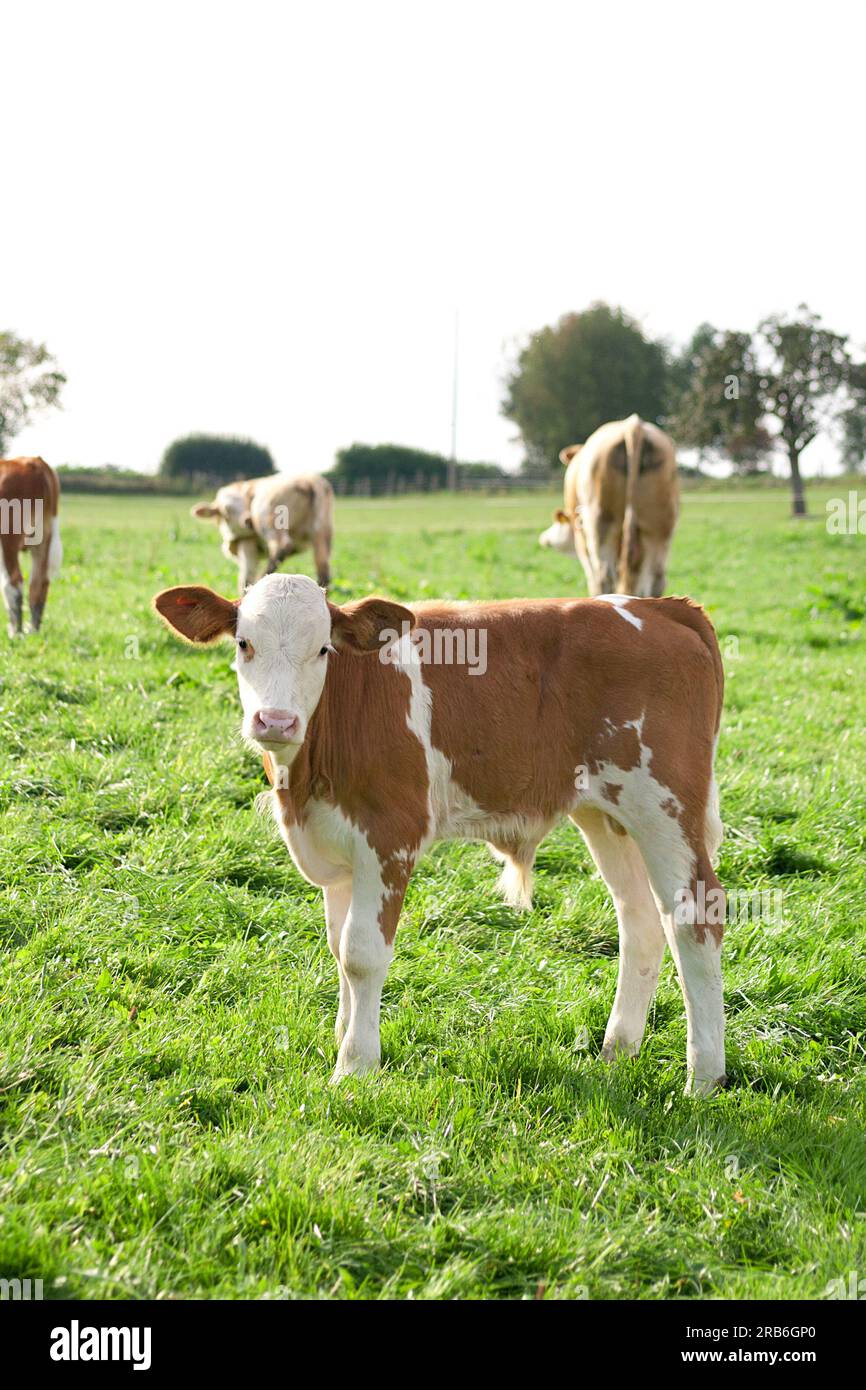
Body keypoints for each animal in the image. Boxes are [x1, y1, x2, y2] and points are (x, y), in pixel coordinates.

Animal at [0, 453, 62, 636]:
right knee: (39, 583)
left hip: (7, 540)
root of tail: (35, 462)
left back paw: (15, 632)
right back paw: (33, 631)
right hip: (44, 538)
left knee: (13, 582)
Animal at [154, 572, 722, 1095]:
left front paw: (355, 1064)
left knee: (695, 917)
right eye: (244, 643)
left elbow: (361, 954)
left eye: (322, 649)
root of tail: (661, 608)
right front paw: (343, 1035)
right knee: (640, 920)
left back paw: (704, 1077)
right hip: (607, 813)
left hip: (664, 805)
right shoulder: (336, 849)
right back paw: (618, 1049)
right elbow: (338, 946)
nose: (275, 721)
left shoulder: (389, 837)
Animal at [193, 472, 335, 592]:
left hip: (272, 521)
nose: (248, 521)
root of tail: (308, 482)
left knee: (281, 547)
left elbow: (244, 578)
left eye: (247, 502)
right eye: (226, 510)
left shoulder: (247, 543)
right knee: (323, 569)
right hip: (322, 531)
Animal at [539, 417, 681, 603]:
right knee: (657, 578)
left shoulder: (580, 536)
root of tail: (633, 424)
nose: (543, 538)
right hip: (659, 525)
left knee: (603, 576)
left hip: (600, 522)